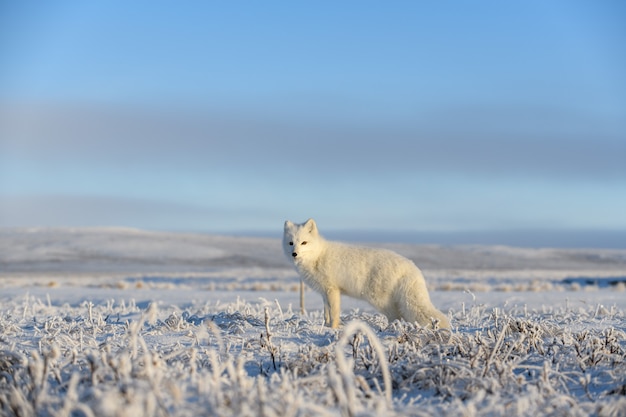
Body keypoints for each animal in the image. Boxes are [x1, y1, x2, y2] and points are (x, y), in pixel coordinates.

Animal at [282, 218, 448, 328]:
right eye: (291, 243)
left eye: (304, 243)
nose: (294, 254)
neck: (317, 256)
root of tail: (410, 265)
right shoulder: (324, 293)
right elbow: (326, 313)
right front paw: (326, 326)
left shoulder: (332, 290)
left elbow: (334, 313)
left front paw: (334, 329)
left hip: (378, 300)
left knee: (396, 316)